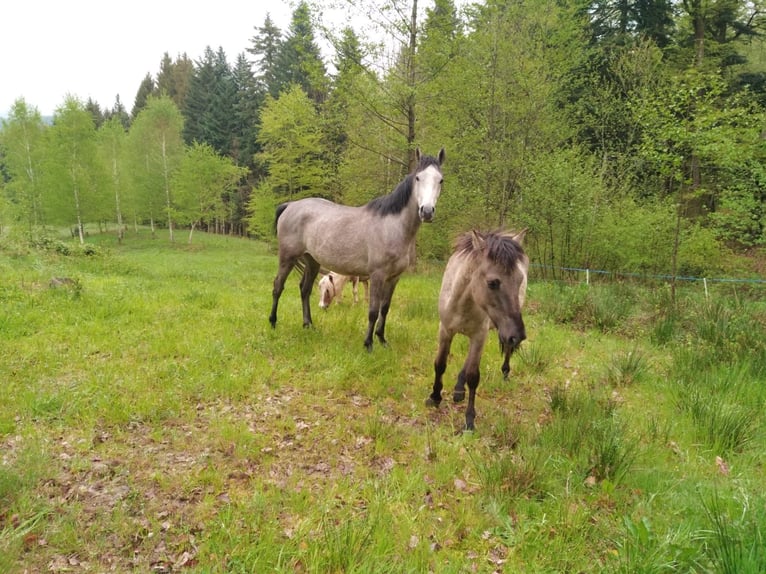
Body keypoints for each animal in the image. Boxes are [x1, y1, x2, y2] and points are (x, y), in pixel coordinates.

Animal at [426, 230, 528, 432]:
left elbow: (473, 376)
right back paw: (459, 389)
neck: (462, 303)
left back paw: (505, 372)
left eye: (520, 280)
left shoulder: (479, 335)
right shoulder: (445, 330)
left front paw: (469, 421)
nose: (519, 336)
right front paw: (435, 397)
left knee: (505, 350)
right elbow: (440, 364)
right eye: (493, 283)